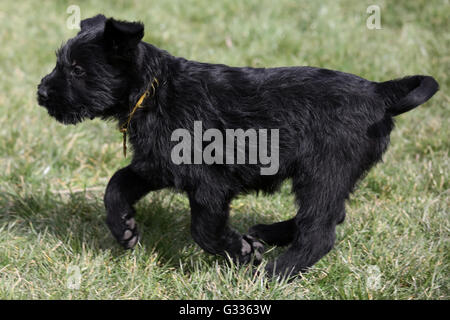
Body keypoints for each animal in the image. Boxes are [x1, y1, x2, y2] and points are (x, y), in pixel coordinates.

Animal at [37, 13, 440, 276]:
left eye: (77, 70)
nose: (40, 93)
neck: (155, 89)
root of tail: (379, 92)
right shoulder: (156, 164)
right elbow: (117, 184)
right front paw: (123, 226)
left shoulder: (209, 183)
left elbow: (203, 228)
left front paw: (240, 252)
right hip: (330, 176)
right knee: (327, 216)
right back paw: (269, 234)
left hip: (323, 172)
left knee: (320, 232)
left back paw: (273, 273)